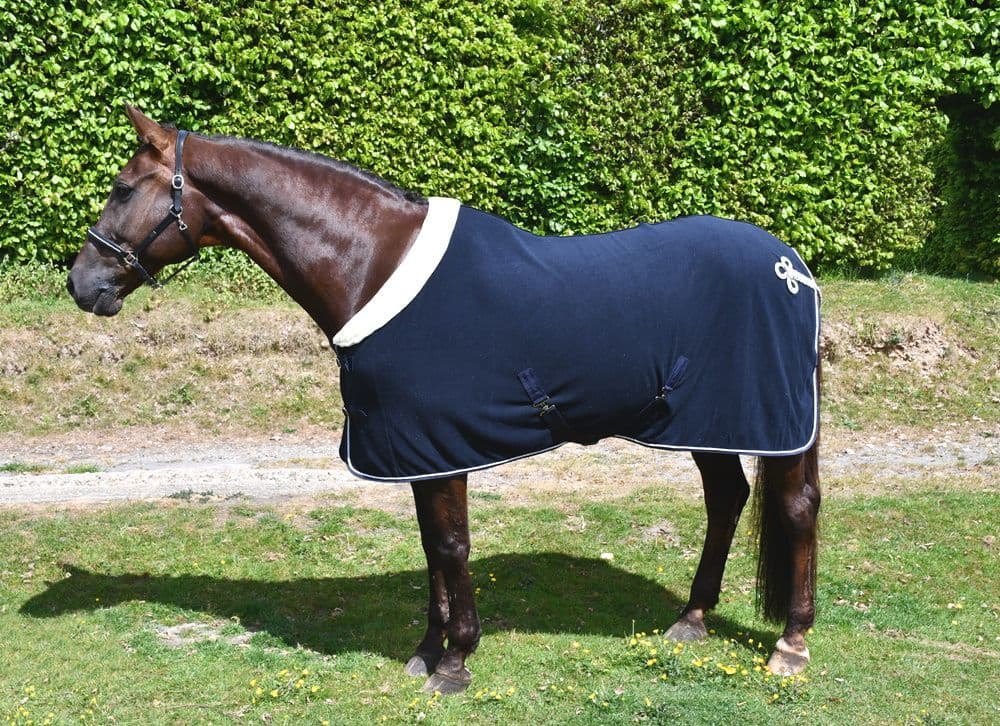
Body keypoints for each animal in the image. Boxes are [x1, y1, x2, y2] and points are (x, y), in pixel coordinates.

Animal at [67, 106, 821, 695]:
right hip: (711, 421)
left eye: (122, 188)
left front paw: (456, 661)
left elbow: (453, 545)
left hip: (770, 421)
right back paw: (691, 620)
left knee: (796, 509)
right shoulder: (414, 449)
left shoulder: (440, 442)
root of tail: (792, 267)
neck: (373, 263)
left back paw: (791, 645)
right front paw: (427, 652)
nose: (81, 283)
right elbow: (433, 548)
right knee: (726, 498)